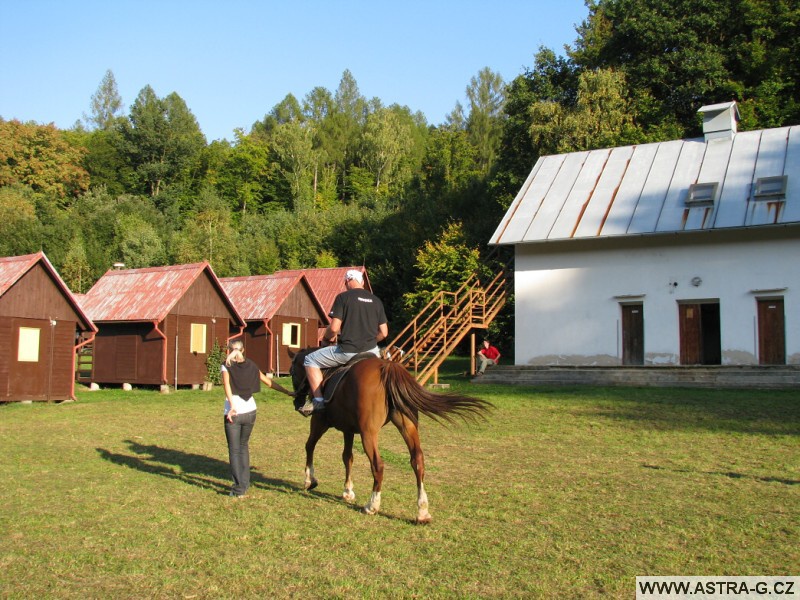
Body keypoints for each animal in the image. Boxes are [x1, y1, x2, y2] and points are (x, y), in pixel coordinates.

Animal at [288, 350, 488, 524]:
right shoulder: (348, 430)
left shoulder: (319, 422)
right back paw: (422, 511)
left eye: (291, 371)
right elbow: (347, 457)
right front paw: (348, 491)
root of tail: (388, 367)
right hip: (407, 425)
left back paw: (372, 505)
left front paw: (310, 480)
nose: (297, 402)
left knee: (378, 464)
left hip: (369, 433)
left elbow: (310, 446)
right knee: (417, 460)